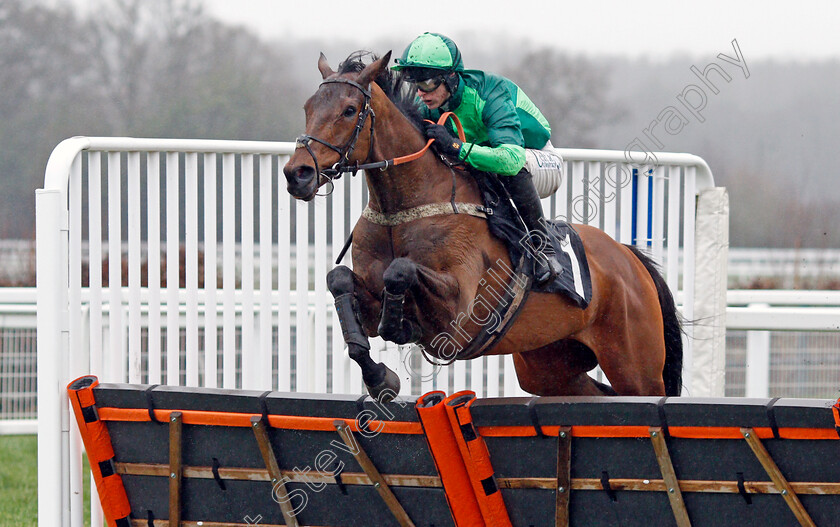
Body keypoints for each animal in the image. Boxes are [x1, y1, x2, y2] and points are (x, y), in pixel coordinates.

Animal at [282, 52, 684, 400]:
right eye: (307, 108)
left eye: (349, 110)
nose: (297, 174)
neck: (405, 209)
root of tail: (629, 259)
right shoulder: (367, 299)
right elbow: (340, 282)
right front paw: (381, 377)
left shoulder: (460, 313)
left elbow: (401, 270)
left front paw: (400, 325)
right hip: (549, 365)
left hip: (635, 366)